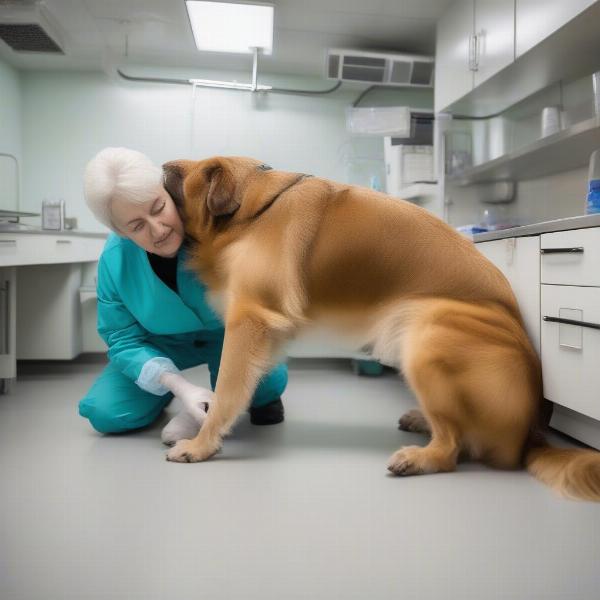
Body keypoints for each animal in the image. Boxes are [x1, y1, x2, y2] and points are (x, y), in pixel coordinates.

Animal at [162, 156, 600, 502]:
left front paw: (201, 445)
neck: (252, 209)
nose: (163, 165)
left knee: (453, 447)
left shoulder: (249, 322)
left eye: (180, 176)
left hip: (424, 331)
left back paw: (420, 457)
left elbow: (226, 394)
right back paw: (423, 422)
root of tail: (530, 433)